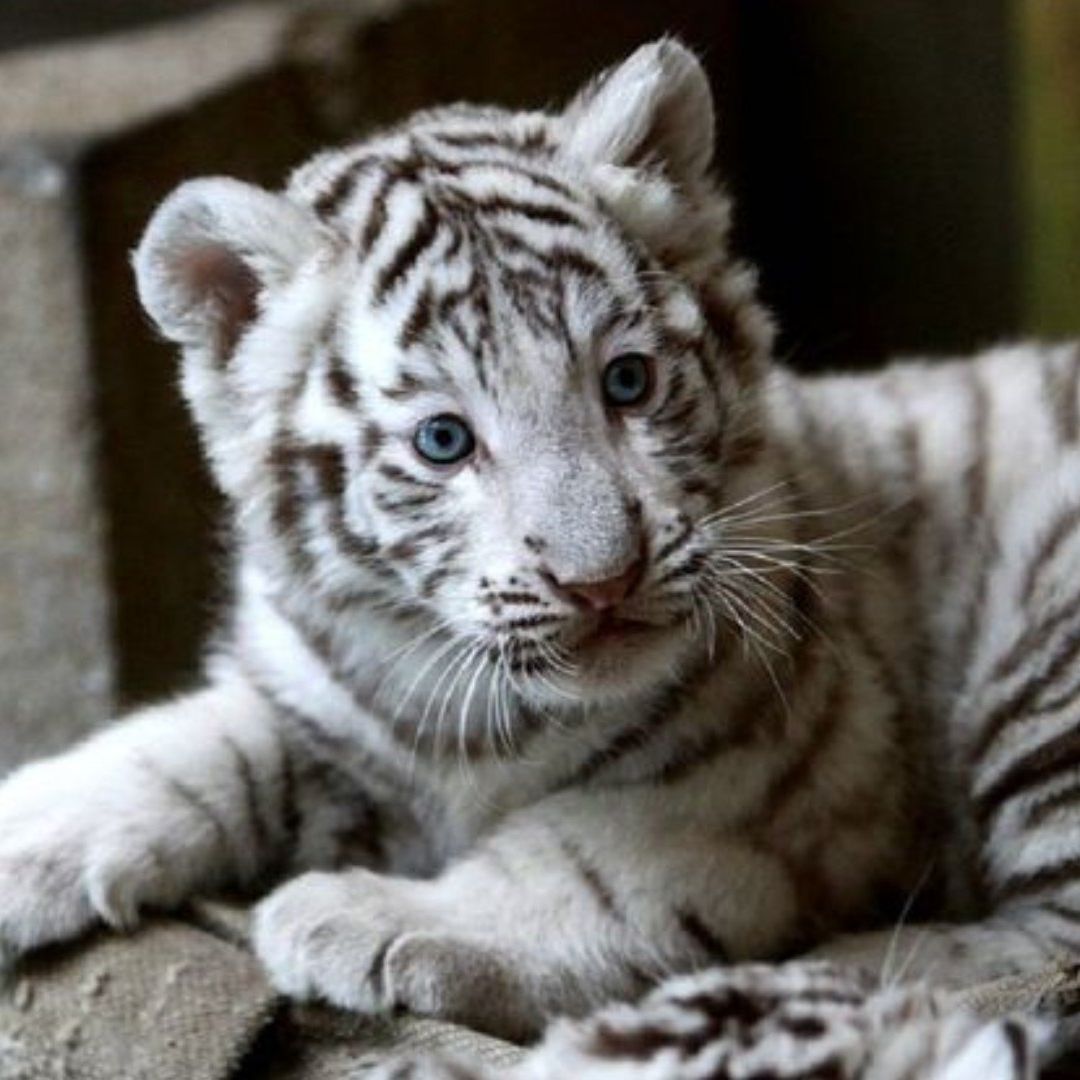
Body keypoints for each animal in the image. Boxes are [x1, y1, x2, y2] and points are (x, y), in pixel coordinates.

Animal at [0, 37, 1076, 1077]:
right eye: (444, 441)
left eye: (628, 382)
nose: (604, 580)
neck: (463, 710)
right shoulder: (330, 703)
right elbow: (199, 742)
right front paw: (29, 831)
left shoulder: (787, 766)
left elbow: (593, 860)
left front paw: (359, 913)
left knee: (1047, 949)